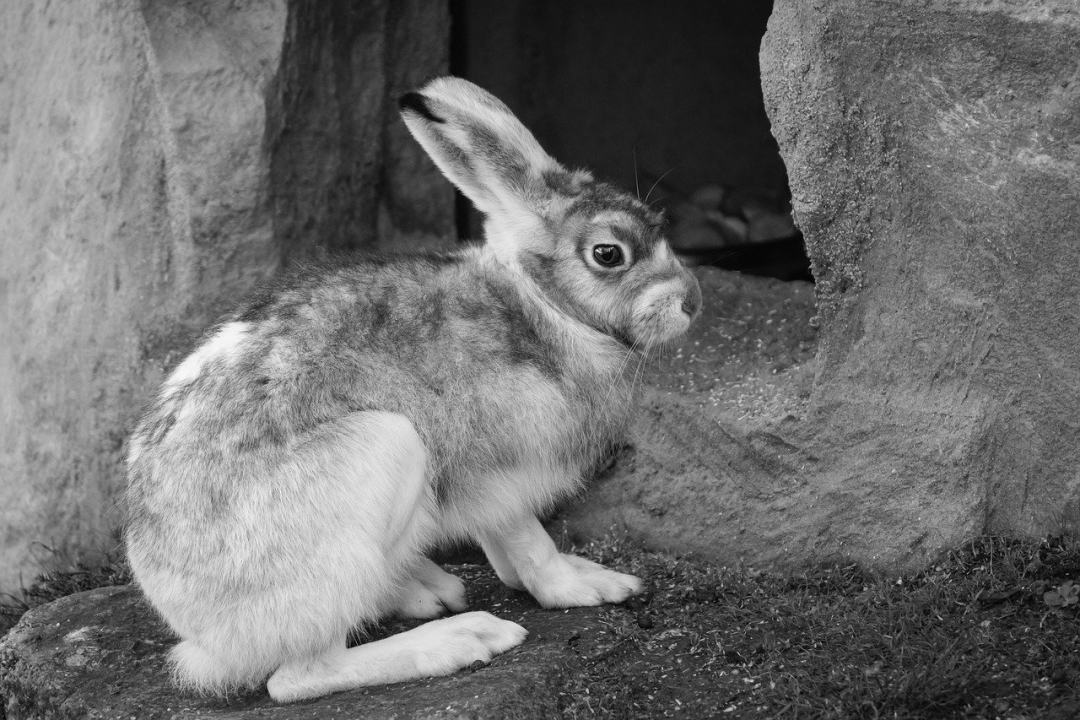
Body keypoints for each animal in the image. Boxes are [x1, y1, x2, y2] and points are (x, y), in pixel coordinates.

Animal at [124, 76, 699, 699]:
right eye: (608, 254)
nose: (692, 300)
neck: (544, 307)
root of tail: (199, 631)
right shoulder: (497, 474)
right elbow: (529, 541)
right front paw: (584, 588)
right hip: (380, 456)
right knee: (300, 675)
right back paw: (459, 640)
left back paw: (425, 590)